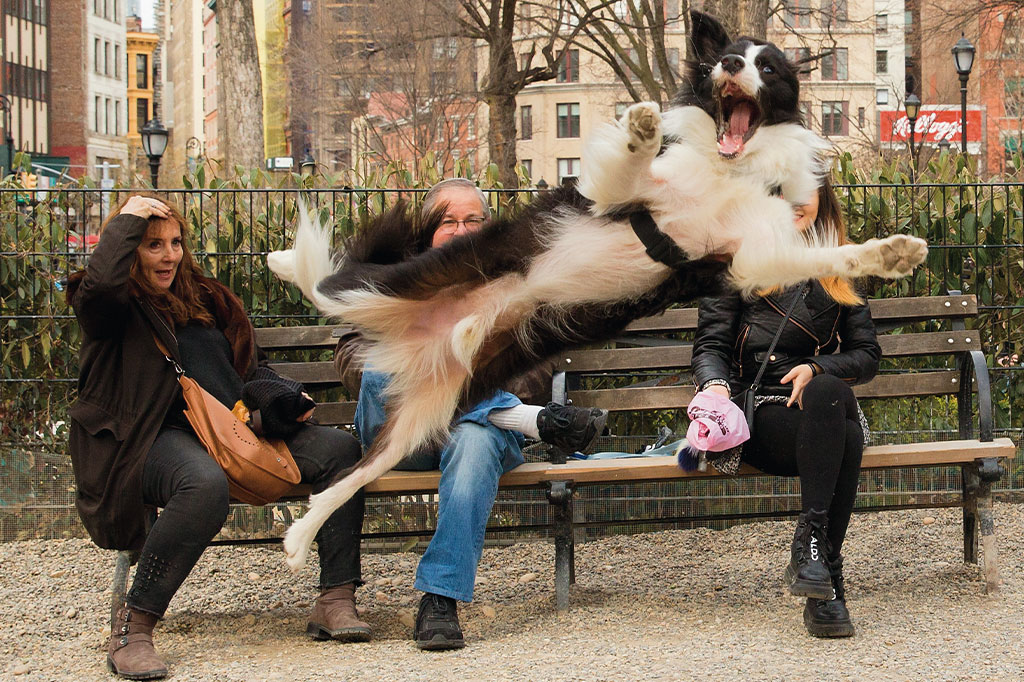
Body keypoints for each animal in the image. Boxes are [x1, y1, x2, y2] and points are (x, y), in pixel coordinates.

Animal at [266, 10, 929, 569]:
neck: (729, 166)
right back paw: (284, 259)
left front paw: (890, 253)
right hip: (397, 282)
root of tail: (413, 337)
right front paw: (642, 123)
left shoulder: (749, 258)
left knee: (354, 475)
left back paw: (300, 536)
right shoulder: (623, 196)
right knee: (328, 287)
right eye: (729, 57)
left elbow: (824, 256)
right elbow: (633, 162)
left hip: (424, 413)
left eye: (768, 67)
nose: (731, 67)